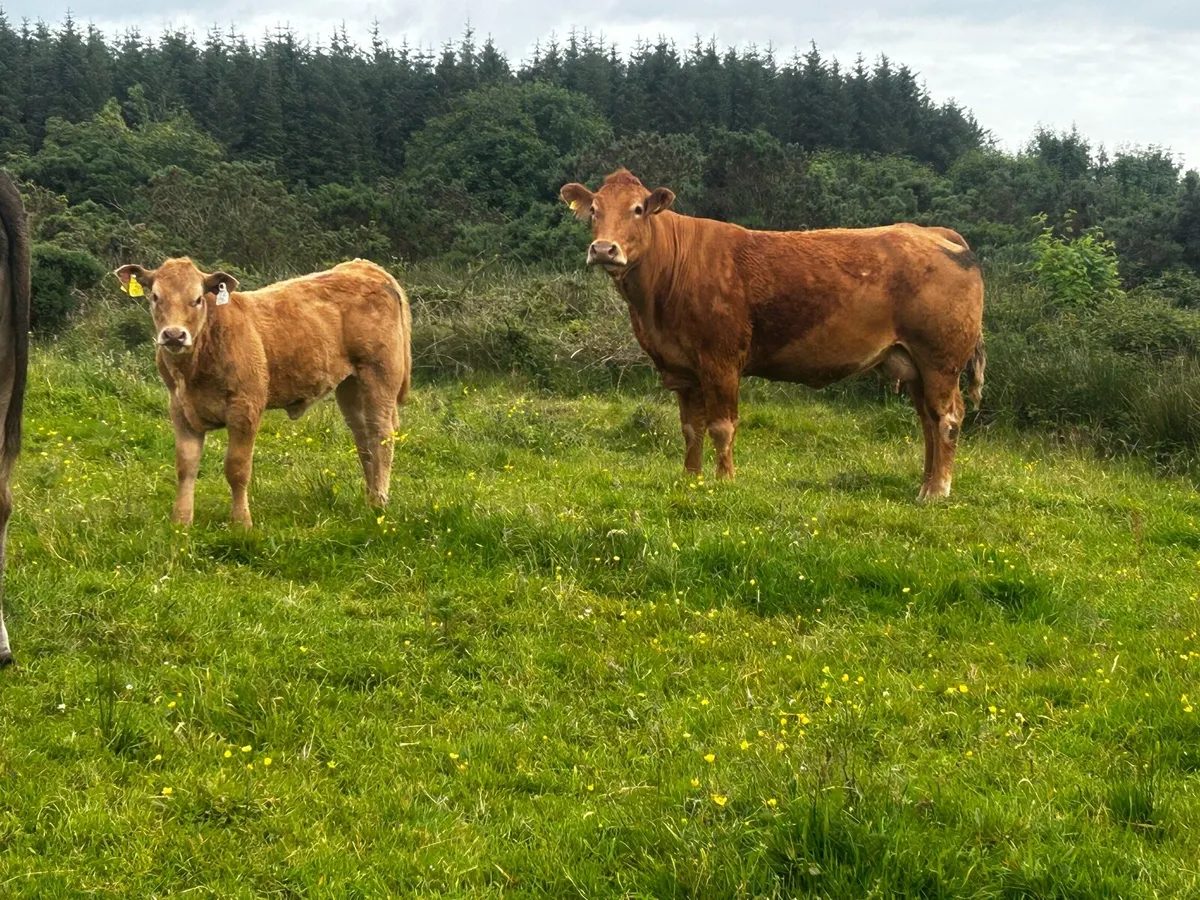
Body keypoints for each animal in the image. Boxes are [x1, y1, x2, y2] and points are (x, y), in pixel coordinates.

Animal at [114, 257, 412, 528]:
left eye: (197, 299)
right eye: (155, 297)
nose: (174, 335)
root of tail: (364, 267)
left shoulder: (245, 408)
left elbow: (237, 468)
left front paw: (241, 523)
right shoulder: (180, 409)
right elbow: (185, 466)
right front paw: (181, 522)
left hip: (380, 374)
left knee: (381, 435)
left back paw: (379, 501)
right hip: (350, 384)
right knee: (363, 439)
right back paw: (370, 498)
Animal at [560, 170, 985, 500]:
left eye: (637, 209)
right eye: (594, 211)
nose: (604, 249)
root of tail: (932, 232)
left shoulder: (721, 361)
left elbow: (721, 426)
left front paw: (725, 482)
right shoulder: (682, 369)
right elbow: (690, 428)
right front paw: (690, 479)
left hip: (941, 361)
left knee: (948, 418)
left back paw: (937, 491)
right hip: (914, 365)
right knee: (928, 422)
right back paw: (924, 485)